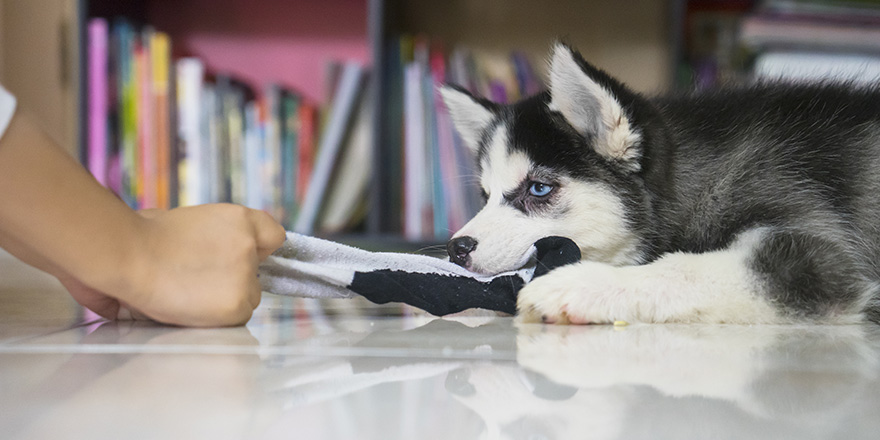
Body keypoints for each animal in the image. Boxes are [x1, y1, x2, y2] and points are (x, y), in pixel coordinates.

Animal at [444, 43, 880, 324]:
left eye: (538, 189)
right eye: (485, 195)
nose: (456, 248)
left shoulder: (815, 255)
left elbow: (682, 268)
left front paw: (583, 284)